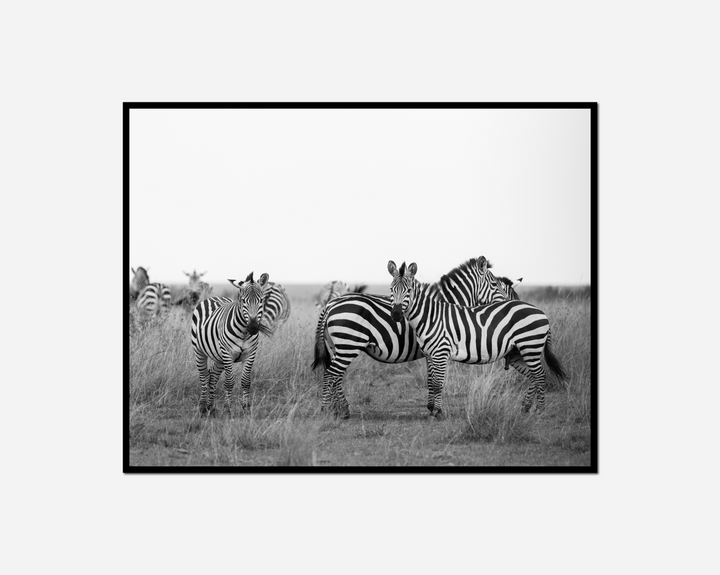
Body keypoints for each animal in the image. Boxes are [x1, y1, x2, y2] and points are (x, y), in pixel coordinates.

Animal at [191, 272, 271, 416]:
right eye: (243, 301)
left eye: (261, 300)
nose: (253, 328)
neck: (244, 333)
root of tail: (212, 297)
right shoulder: (228, 354)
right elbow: (229, 382)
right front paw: (228, 409)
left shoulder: (251, 353)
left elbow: (246, 381)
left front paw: (246, 408)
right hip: (199, 351)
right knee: (204, 376)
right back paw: (202, 407)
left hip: (219, 357)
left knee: (213, 376)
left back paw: (211, 407)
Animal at [313, 256, 517, 418]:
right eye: (495, 285)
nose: (511, 307)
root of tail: (330, 304)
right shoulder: (437, 346)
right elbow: (435, 378)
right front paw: (435, 409)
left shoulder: (432, 348)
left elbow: (431, 378)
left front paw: (431, 407)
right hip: (348, 344)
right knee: (332, 374)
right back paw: (327, 411)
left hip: (337, 346)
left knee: (334, 375)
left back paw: (342, 410)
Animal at [388, 260, 566, 417]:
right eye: (391, 289)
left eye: (408, 290)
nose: (395, 314)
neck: (430, 316)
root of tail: (540, 311)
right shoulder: (430, 354)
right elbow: (431, 382)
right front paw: (432, 409)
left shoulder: (441, 353)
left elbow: (438, 383)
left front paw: (437, 412)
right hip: (518, 352)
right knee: (533, 376)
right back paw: (526, 408)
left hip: (530, 347)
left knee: (540, 376)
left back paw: (540, 411)